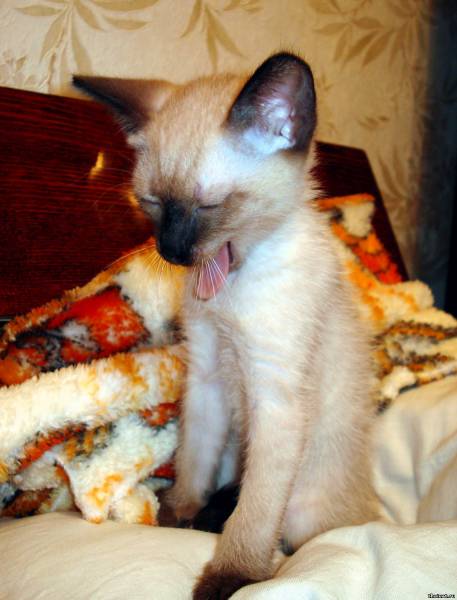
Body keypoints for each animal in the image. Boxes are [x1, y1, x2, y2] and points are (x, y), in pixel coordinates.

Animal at [74, 52, 379, 600]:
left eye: (209, 207)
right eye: (151, 204)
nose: (172, 252)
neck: (231, 284)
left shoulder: (275, 399)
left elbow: (254, 512)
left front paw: (231, 576)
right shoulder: (209, 376)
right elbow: (194, 460)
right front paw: (177, 516)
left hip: (307, 511)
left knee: (296, 528)